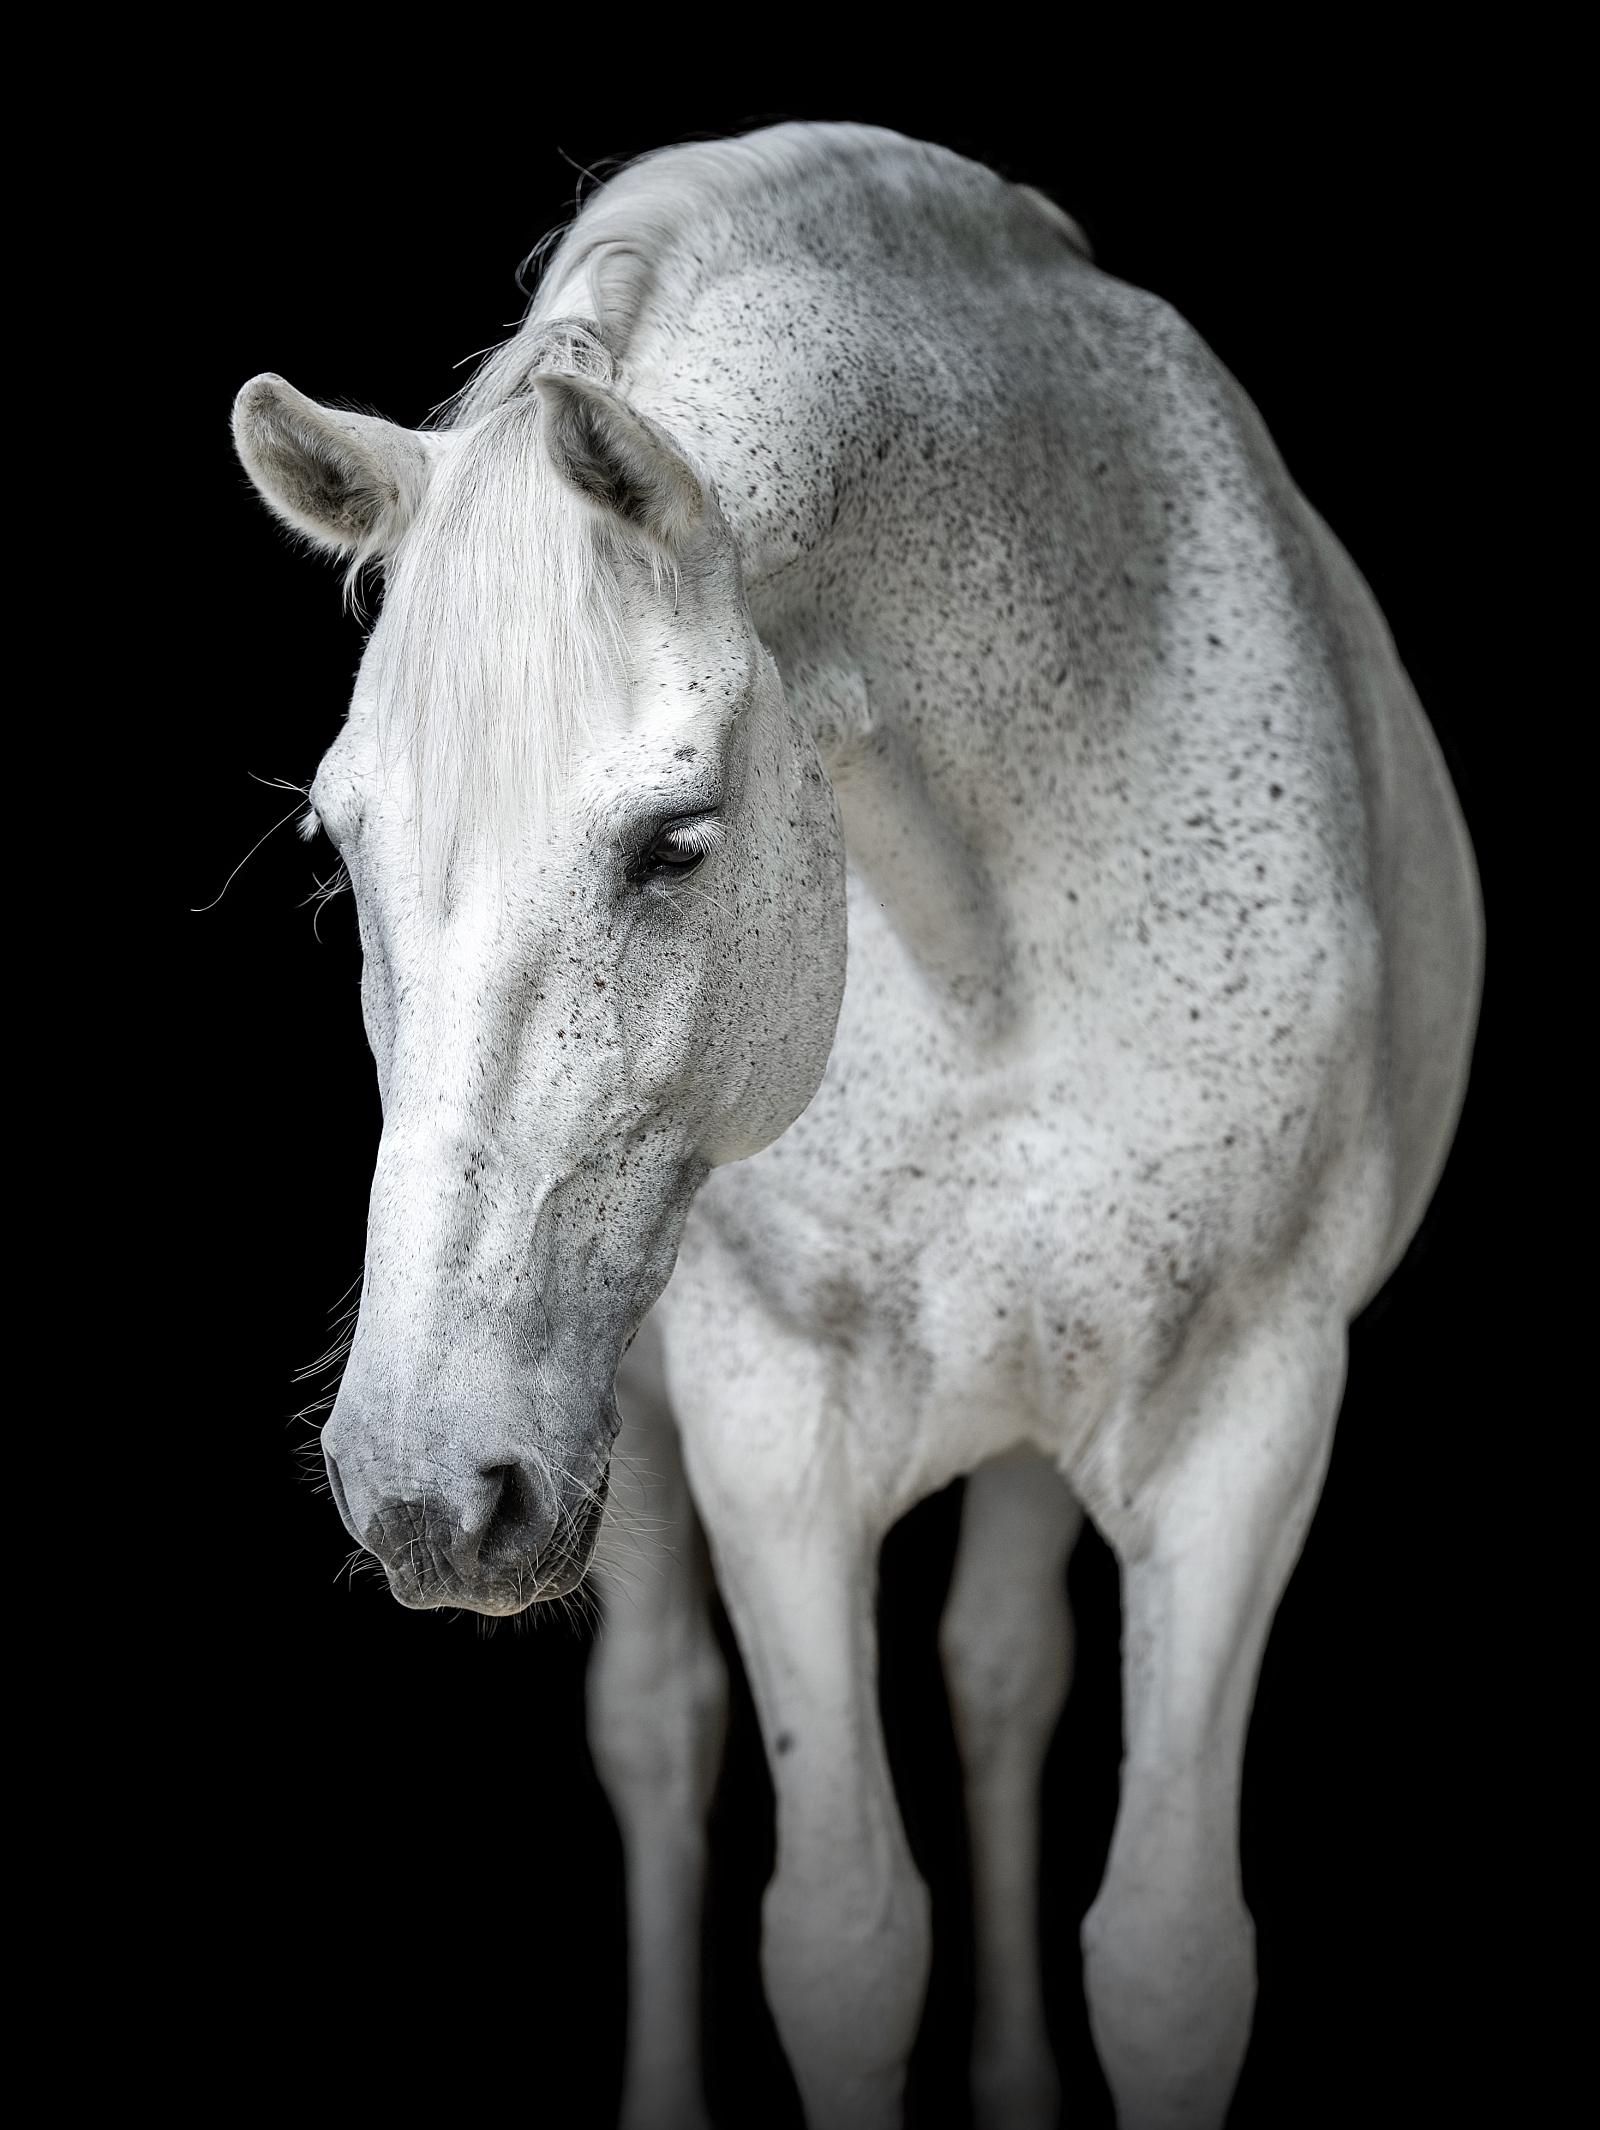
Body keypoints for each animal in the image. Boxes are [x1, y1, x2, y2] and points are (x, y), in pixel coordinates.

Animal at [237, 124, 1491, 2121]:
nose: (423, 1490)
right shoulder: (774, 1431)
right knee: (658, 1735)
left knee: (997, 1674)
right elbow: (840, 1939)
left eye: (676, 843)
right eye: (335, 849)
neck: (1001, 940)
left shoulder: (1247, 1418)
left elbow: (1168, 1956)